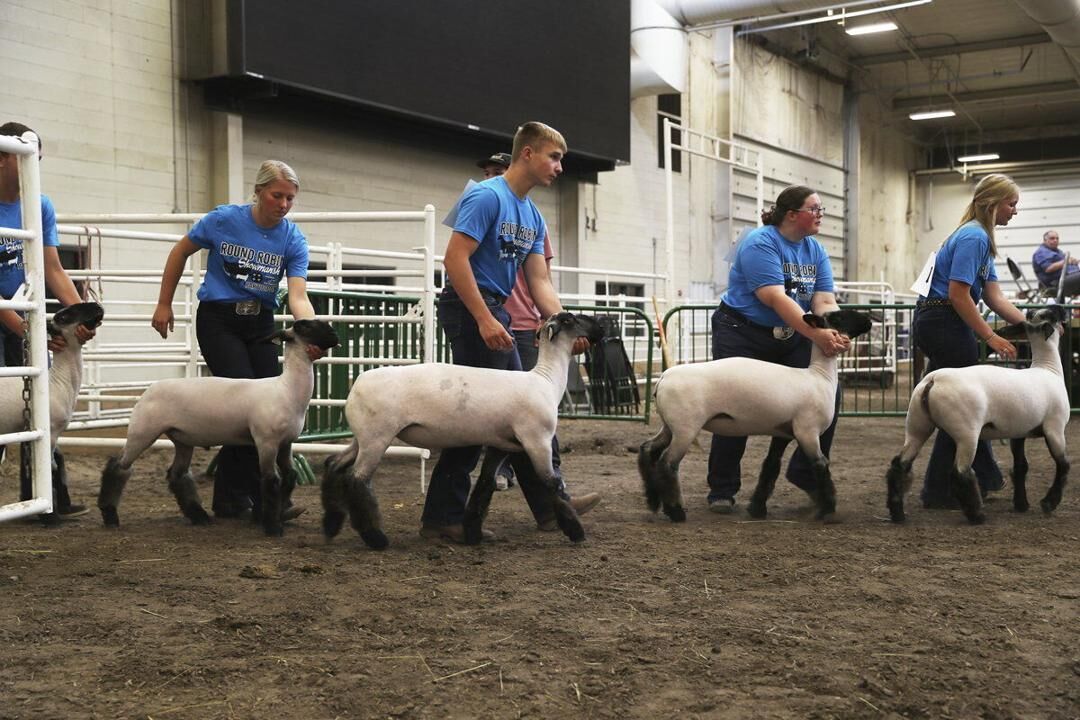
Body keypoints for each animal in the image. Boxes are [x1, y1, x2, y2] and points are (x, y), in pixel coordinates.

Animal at [100, 321, 339, 535]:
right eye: (304, 326)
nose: (335, 336)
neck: (287, 389)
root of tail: (148, 390)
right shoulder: (266, 441)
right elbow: (271, 481)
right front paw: (273, 527)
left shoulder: (286, 443)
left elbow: (290, 476)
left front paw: (280, 513)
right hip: (143, 432)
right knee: (118, 467)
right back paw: (110, 515)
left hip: (182, 439)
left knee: (177, 474)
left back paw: (199, 516)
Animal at [885, 304, 1071, 524]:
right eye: (1052, 314)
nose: (1061, 309)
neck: (1048, 368)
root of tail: (932, 381)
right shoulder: (1055, 428)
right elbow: (1063, 465)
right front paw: (1049, 503)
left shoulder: (1019, 432)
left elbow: (1021, 466)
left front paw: (1021, 504)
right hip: (967, 432)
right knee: (960, 473)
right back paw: (976, 515)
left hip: (917, 425)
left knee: (900, 465)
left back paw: (897, 513)